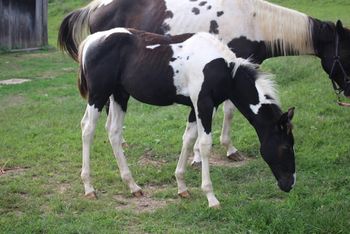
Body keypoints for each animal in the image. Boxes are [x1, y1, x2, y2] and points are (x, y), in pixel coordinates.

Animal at [58, 0, 350, 165]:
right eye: (347, 54)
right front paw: (224, 150)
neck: (254, 21)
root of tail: (94, 7)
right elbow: (227, 112)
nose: (347, 91)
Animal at [76, 28, 296, 207]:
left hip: (120, 95)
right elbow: (205, 144)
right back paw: (89, 188)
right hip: (98, 95)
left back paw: (133, 186)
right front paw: (211, 198)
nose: (289, 184)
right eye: (285, 147)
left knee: (114, 133)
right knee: (88, 129)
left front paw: (182, 187)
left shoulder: (197, 106)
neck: (224, 69)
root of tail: (90, 41)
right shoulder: (204, 104)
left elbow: (189, 140)